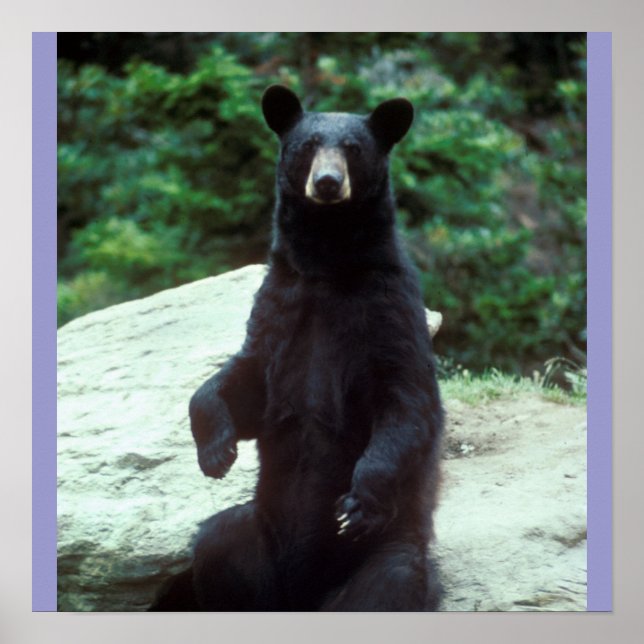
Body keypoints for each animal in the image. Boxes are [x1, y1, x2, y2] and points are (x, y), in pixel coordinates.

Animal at [149, 85, 444, 612]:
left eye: (353, 148)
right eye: (307, 145)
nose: (327, 183)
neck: (327, 266)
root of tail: (301, 596)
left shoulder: (389, 309)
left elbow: (406, 401)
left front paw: (357, 502)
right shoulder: (280, 306)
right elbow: (245, 380)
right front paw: (216, 451)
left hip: (384, 554)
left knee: (390, 581)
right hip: (256, 538)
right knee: (219, 542)